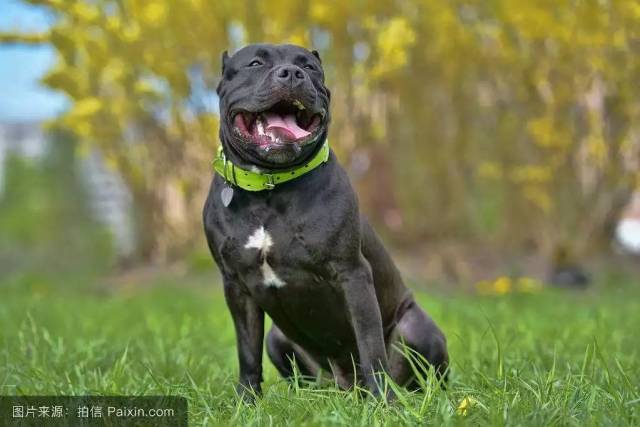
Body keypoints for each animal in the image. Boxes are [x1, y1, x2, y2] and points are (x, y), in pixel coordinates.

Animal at [202, 44, 448, 402]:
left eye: (309, 67)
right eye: (255, 63)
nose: (292, 73)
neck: (270, 187)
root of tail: (347, 385)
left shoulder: (352, 274)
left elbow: (370, 345)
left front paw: (383, 403)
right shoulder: (236, 285)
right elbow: (247, 352)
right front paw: (246, 402)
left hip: (415, 326)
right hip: (277, 339)